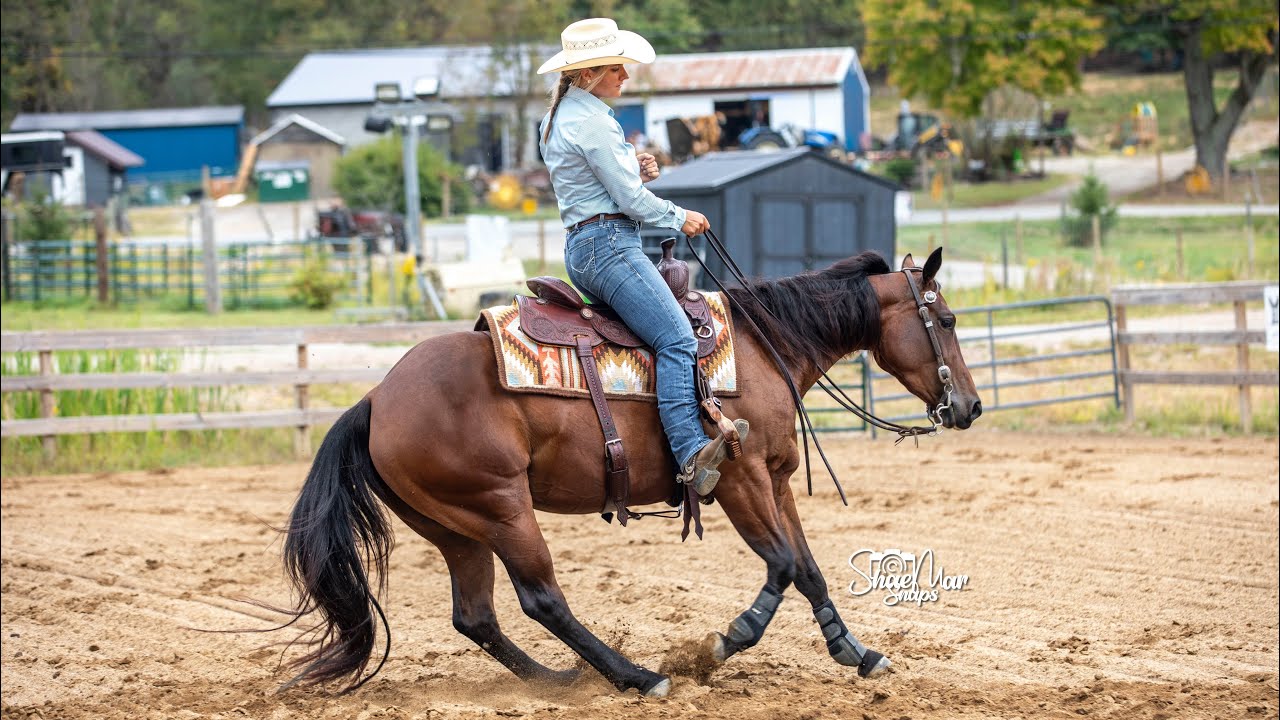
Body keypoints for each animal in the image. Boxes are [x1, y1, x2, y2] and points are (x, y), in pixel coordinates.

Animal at [277, 247, 981, 697]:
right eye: (946, 319)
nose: (970, 406)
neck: (765, 347)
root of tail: (375, 400)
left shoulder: (777, 482)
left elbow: (808, 570)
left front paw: (856, 653)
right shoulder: (740, 479)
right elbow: (781, 566)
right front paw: (721, 645)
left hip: (455, 527)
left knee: (476, 615)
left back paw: (559, 680)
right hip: (502, 509)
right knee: (541, 598)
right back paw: (640, 677)